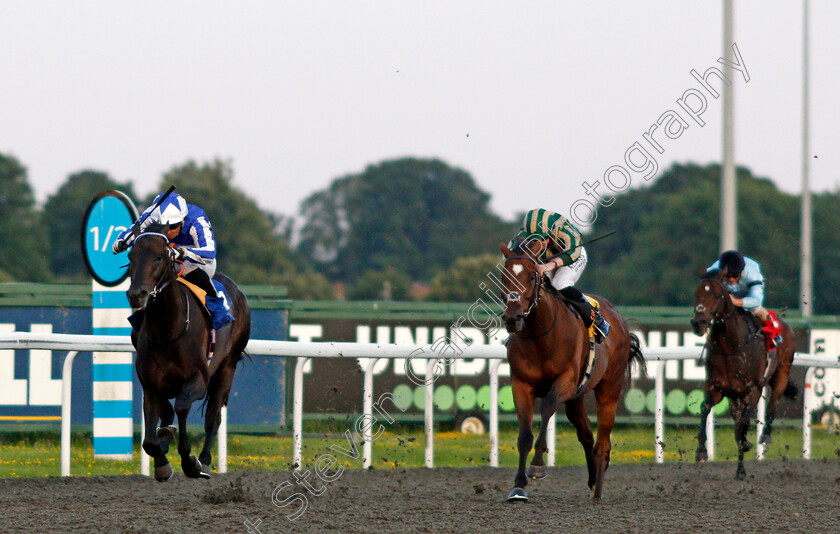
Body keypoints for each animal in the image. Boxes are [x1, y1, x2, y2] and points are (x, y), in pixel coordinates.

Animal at [124, 229, 249, 482]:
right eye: (131, 256)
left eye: (159, 256)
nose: (136, 295)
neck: (168, 331)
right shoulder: (150, 383)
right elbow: (151, 437)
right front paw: (162, 460)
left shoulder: (198, 379)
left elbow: (182, 407)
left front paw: (190, 462)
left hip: (227, 367)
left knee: (212, 417)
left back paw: (205, 461)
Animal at [498, 241, 644, 504]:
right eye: (504, 277)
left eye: (532, 276)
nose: (513, 317)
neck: (541, 336)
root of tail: (620, 321)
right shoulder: (521, 385)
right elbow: (524, 436)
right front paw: (518, 487)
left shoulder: (564, 381)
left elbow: (547, 407)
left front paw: (537, 466)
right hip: (576, 399)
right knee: (586, 435)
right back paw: (593, 480)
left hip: (609, 389)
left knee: (603, 441)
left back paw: (598, 491)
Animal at [688, 272, 796, 482]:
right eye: (696, 294)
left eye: (717, 296)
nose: (698, 323)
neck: (730, 346)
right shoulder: (716, 387)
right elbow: (705, 408)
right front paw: (701, 451)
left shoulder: (752, 390)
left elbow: (744, 424)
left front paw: (747, 443)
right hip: (734, 399)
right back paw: (740, 469)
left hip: (782, 373)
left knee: (772, 405)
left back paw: (765, 437)